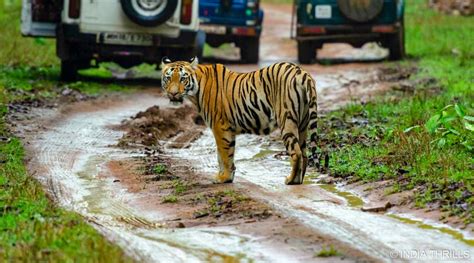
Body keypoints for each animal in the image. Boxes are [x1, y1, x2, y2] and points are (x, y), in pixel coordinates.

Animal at [160, 57, 318, 186]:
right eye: (168, 78)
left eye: (183, 79)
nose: (173, 93)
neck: (195, 91)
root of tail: (301, 72)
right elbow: (223, 154)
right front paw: (225, 176)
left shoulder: (220, 126)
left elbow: (224, 154)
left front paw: (224, 178)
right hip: (302, 124)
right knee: (304, 153)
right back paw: (299, 180)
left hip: (287, 120)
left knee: (296, 152)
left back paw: (291, 180)